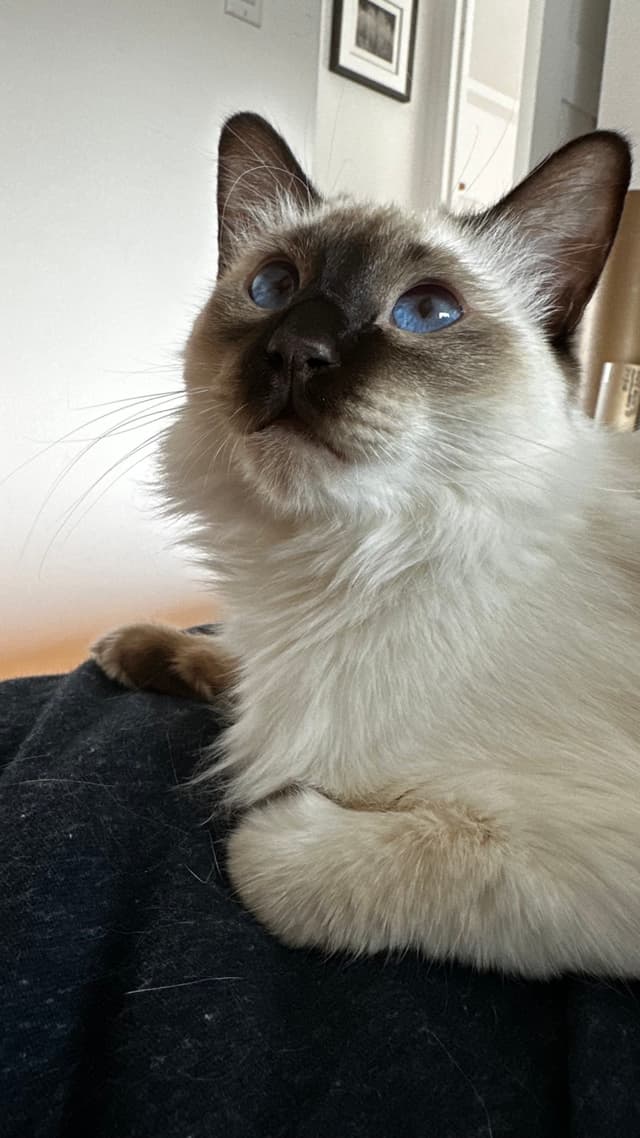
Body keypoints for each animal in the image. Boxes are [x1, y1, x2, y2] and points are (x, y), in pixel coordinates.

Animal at [93, 108, 637, 978]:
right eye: (273, 289)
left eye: (427, 312)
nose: (294, 352)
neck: (346, 564)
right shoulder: (276, 661)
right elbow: (230, 662)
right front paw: (140, 651)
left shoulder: (576, 856)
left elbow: (278, 859)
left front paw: (270, 806)